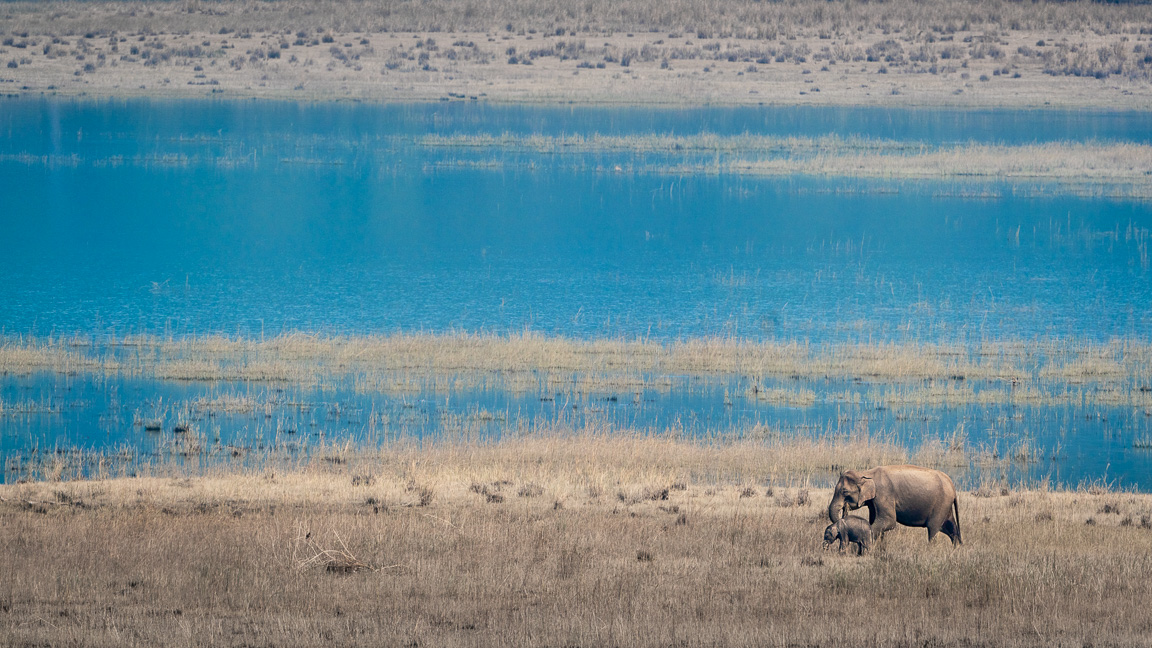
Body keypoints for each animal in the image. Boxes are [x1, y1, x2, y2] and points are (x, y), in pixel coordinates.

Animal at [829, 463, 963, 544]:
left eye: (844, 491)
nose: (844, 511)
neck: (867, 473)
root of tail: (952, 484)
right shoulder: (874, 502)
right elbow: (875, 520)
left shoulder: (884, 495)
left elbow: (888, 521)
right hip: (946, 505)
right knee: (951, 528)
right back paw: (956, 549)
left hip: (941, 504)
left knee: (933, 529)